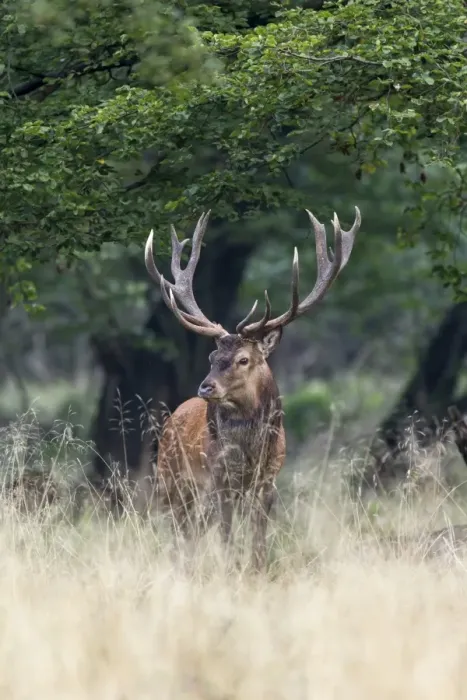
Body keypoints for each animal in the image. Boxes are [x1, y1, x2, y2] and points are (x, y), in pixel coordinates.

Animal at [144, 206, 361, 569]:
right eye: (213, 355)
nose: (206, 387)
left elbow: (258, 542)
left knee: (192, 533)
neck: (250, 453)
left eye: (243, 359)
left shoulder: (268, 481)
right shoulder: (219, 481)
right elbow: (228, 538)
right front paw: (231, 569)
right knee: (178, 534)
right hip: (170, 482)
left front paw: (256, 570)